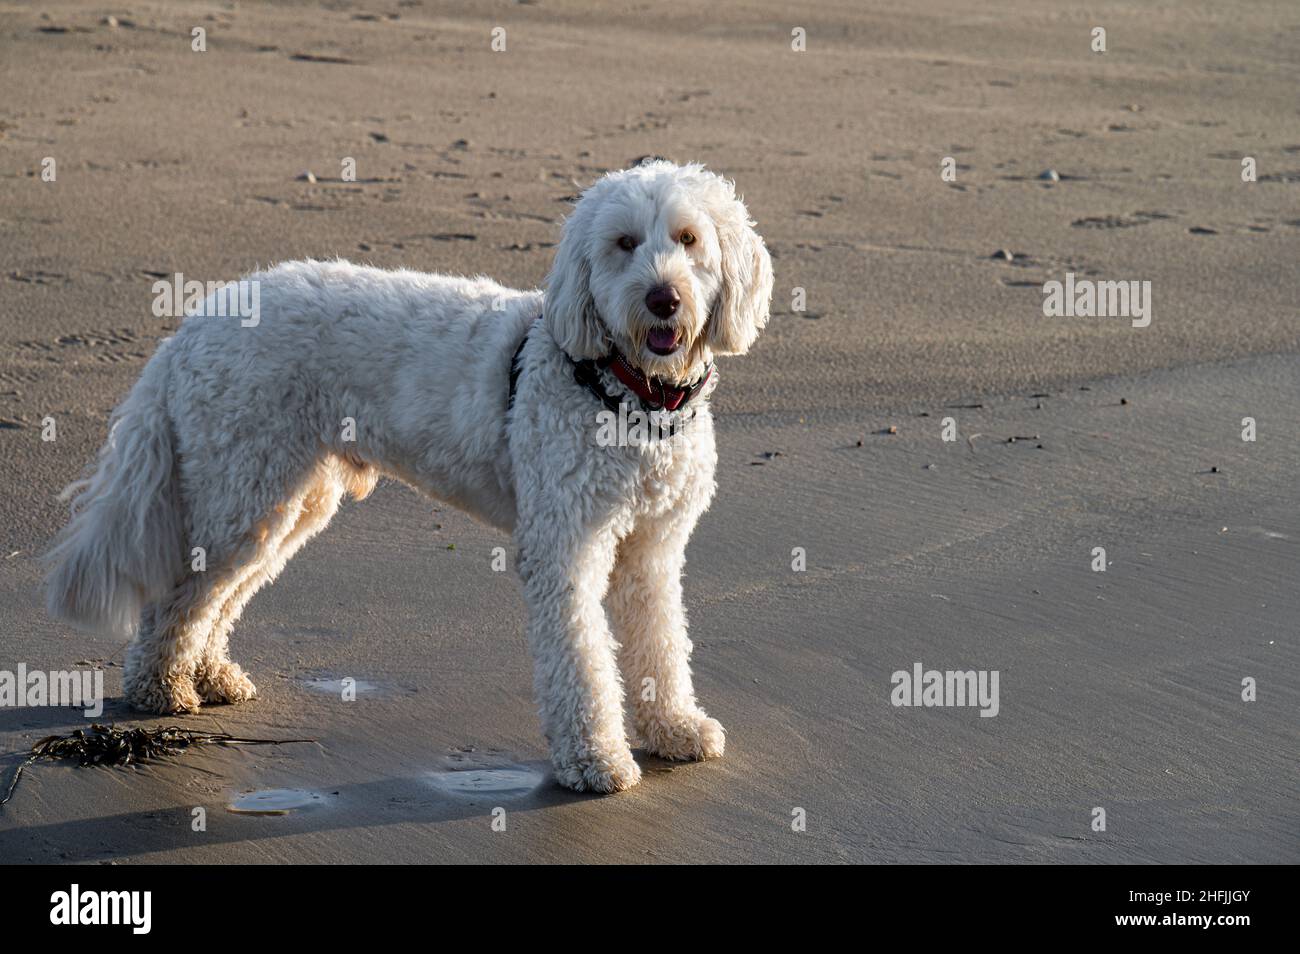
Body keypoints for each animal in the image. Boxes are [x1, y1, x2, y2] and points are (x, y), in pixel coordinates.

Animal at [43, 160, 769, 795]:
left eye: (688, 239)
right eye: (623, 244)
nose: (663, 299)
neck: (630, 397)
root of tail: (190, 327)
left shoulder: (652, 550)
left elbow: (662, 645)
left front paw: (673, 727)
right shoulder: (566, 546)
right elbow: (581, 664)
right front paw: (594, 760)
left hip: (283, 500)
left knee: (218, 597)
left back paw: (211, 674)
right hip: (242, 490)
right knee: (178, 598)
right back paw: (159, 688)